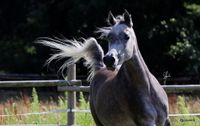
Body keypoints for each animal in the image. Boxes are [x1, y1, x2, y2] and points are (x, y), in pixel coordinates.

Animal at [38, 10, 170, 126]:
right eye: (109, 37)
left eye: (127, 36)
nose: (109, 60)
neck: (146, 89)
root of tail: (100, 69)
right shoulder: (146, 122)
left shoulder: (166, 121)